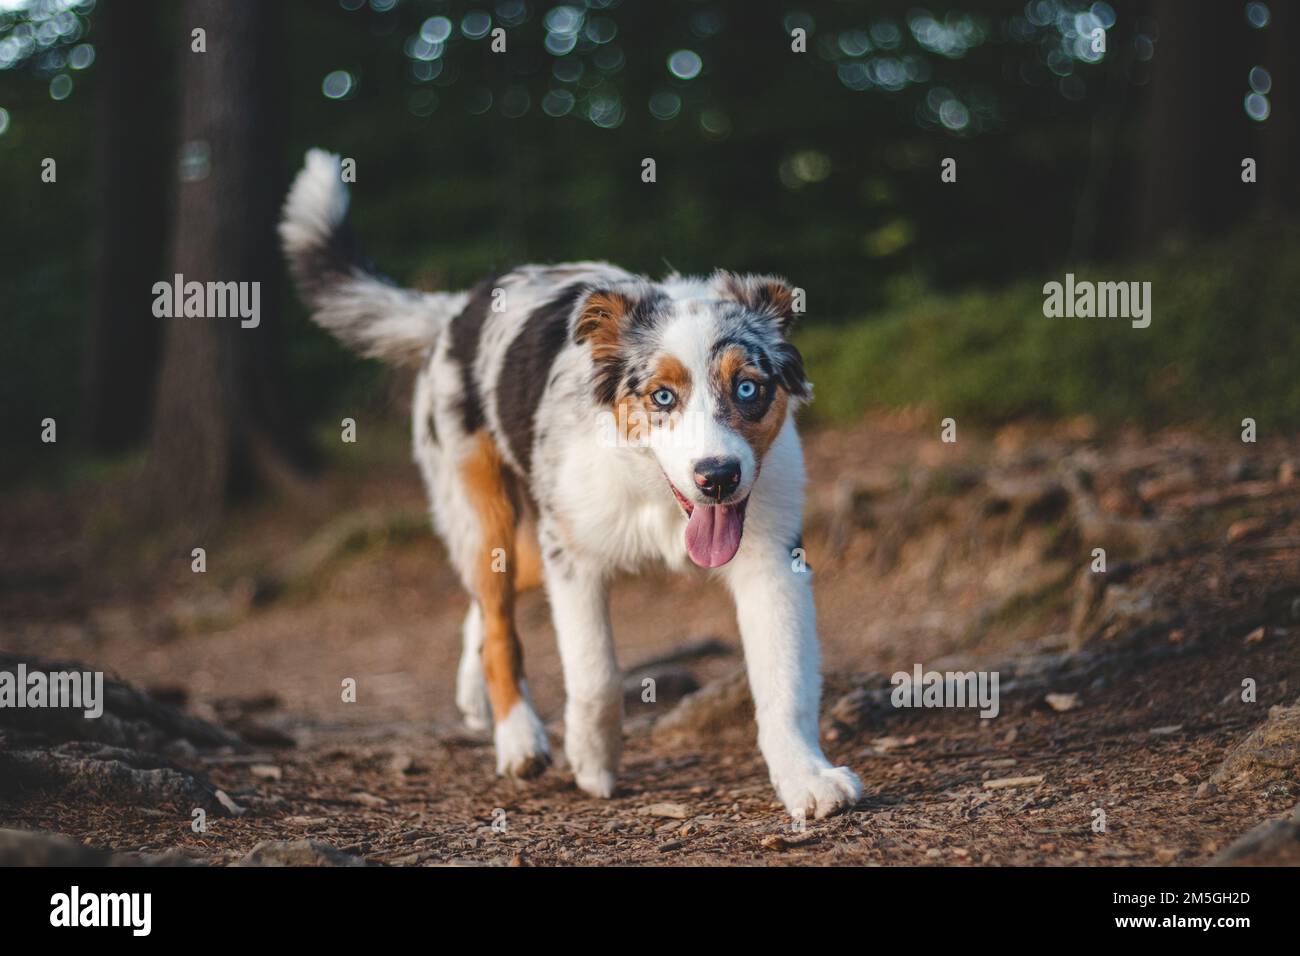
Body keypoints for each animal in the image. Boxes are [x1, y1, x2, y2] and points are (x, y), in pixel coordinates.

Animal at [279, 149, 857, 822]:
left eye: (747, 388)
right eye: (662, 396)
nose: (717, 478)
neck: (656, 494)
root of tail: (455, 309)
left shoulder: (770, 557)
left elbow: (784, 681)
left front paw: (807, 777)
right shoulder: (573, 557)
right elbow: (595, 673)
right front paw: (593, 759)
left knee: (486, 604)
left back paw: (474, 695)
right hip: (484, 510)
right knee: (497, 621)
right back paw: (518, 739)